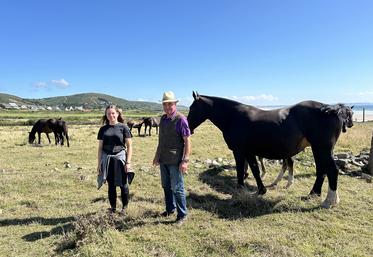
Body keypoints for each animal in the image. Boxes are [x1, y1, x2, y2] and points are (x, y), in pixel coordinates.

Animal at [187, 91, 354, 207]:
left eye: (192, 108)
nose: (188, 127)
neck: (233, 117)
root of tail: (333, 109)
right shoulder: (249, 152)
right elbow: (254, 170)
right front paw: (261, 190)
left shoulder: (239, 151)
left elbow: (242, 170)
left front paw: (240, 191)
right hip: (319, 149)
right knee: (321, 170)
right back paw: (313, 194)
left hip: (322, 149)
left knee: (331, 170)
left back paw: (329, 201)